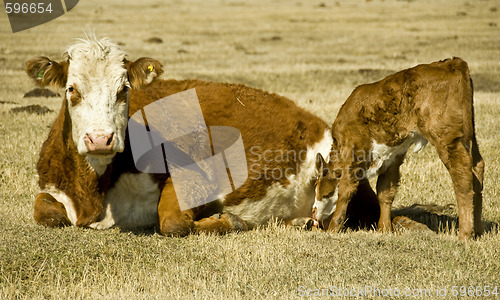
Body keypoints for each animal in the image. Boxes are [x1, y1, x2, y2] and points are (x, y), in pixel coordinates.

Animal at [26, 35, 382, 236]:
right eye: (72, 89)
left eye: (123, 89)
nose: (100, 139)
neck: (93, 195)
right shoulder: (52, 185)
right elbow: (46, 213)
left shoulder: (199, 180)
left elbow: (172, 222)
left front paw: (233, 222)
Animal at [312, 57, 484, 240]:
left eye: (317, 184)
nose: (314, 212)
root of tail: (452, 63)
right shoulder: (393, 157)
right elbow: (385, 191)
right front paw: (385, 228)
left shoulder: (353, 151)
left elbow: (345, 190)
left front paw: (334, 228)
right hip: (469, 132)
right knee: (477, 167)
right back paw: (478, 230)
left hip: (446, 136)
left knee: (461, 172)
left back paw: (465, 234)